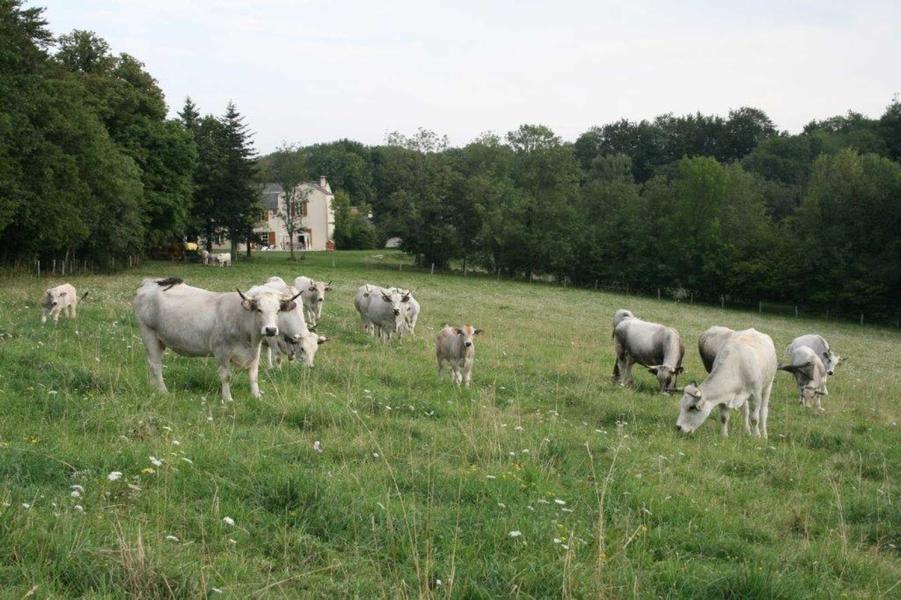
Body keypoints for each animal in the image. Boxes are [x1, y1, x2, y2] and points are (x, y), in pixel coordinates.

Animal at [133, 277, 301, 400]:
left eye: (278, 310)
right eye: (259, 310)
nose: (271, 330)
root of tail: (149, 282)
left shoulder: (255, 350)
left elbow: (254, 375)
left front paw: (257, 396)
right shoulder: (221, 350)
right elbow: (226, 376)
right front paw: (228, 399)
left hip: (159, 340)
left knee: (151, 363)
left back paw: (152, 388)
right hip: (148, 334)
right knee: (156, 365)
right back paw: (163, 391)